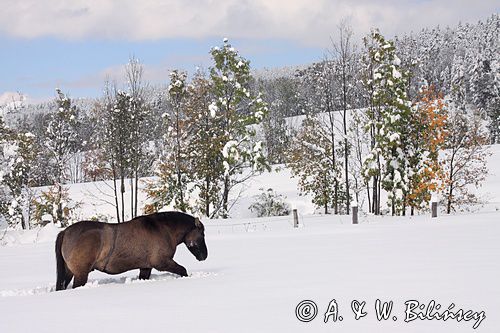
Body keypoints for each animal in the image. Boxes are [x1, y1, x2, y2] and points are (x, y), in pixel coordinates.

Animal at [55, 211, 208, 290]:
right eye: (202, 234)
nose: (204, 256)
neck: (163, 229)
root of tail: (65, 232)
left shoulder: (146, 267)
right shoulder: (161, 262)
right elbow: (183, 270)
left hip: (69, 272)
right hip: (81, 274)